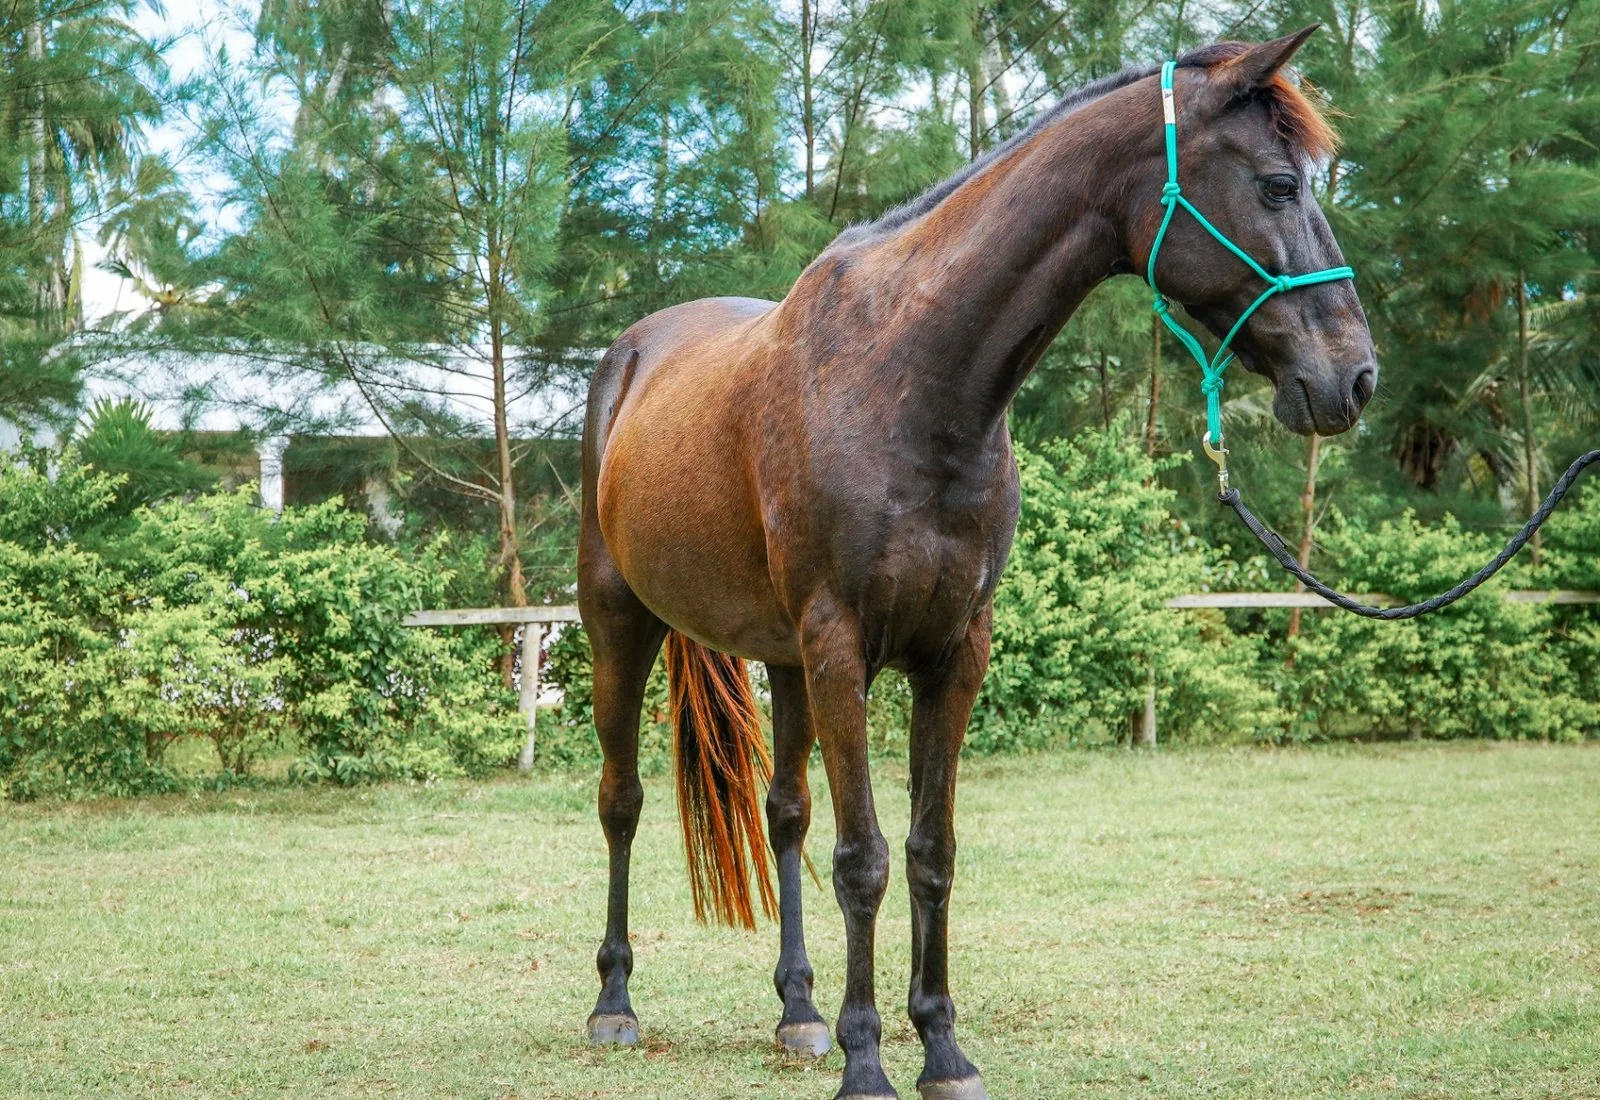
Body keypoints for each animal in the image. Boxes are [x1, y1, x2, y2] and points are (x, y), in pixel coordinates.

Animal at [577, 27, 1377, 1100]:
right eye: (1280, 184)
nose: (1355, 377)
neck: (911, 378)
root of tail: (630, 357)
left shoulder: (953, 652)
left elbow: (930, 850)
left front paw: (942, 1049)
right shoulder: (841, 647)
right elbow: (864, 858)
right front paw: (869, 1063)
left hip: (782, 660)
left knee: (785, 815)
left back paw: (798, 1013)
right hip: (622, 625)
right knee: (621, 802)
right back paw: (614, 1004)